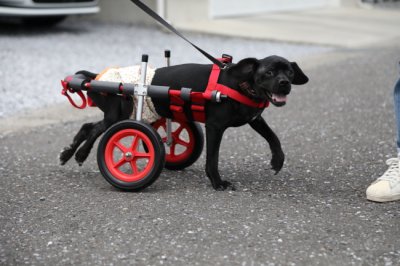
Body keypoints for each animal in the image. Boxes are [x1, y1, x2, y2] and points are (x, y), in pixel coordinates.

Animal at [60, 55, 310, 190]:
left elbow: (273, 137)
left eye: (289, 71)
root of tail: (95, 78)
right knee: (95, 129)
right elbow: (212, 159)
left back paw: (69, 153)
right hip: (120, 113)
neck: (241, 84)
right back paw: (80, 154)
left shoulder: (254, 119)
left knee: (88, 127)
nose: (285, 83)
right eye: (269, 72)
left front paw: (278, 160)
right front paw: (217, 182)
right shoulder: (215, 127)